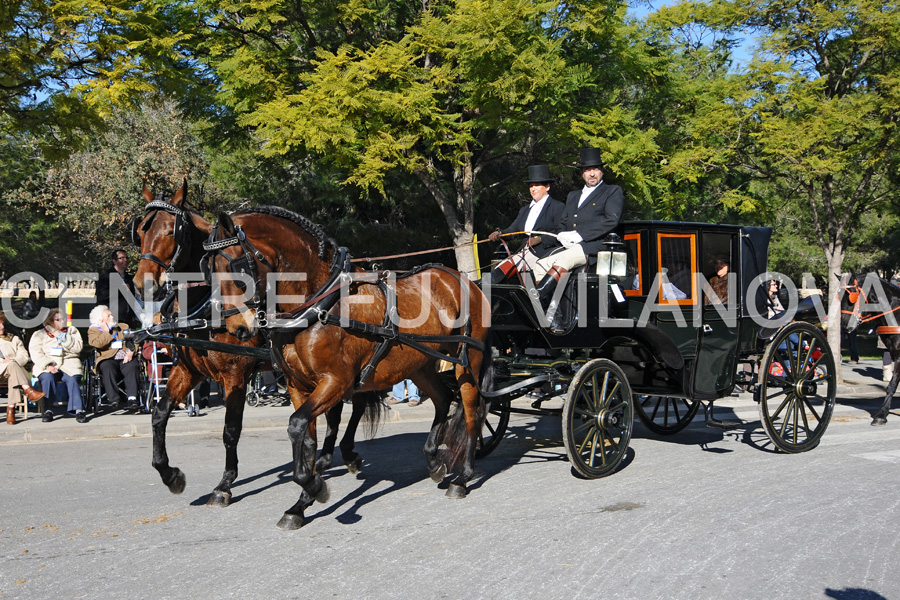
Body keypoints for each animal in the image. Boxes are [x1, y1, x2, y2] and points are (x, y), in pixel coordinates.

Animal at [130, 182, 376, 506]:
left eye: (173, 231)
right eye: (140, 231)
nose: (142, 284)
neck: (205, 306)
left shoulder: (235, 374)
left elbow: (230, 430)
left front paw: (224, 484)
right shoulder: (187, 370)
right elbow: (159, 414)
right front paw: (170, 474)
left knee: (357, 402)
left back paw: (346, 453)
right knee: (335, 409)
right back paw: (324, 459)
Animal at [207, 207, 492, 528]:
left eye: (236, 268)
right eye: (208, 270)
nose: (237, 329)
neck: (318, 305)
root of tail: (461, 279)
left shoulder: (336, 382)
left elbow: (296, 425)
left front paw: (314, 486)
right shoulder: (298, 386)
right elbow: (306, 439)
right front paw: (301, 503)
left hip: (468, 360)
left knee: (472, 411)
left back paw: (463, 478)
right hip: (419, 364)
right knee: (443, 399)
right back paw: (433, 461)